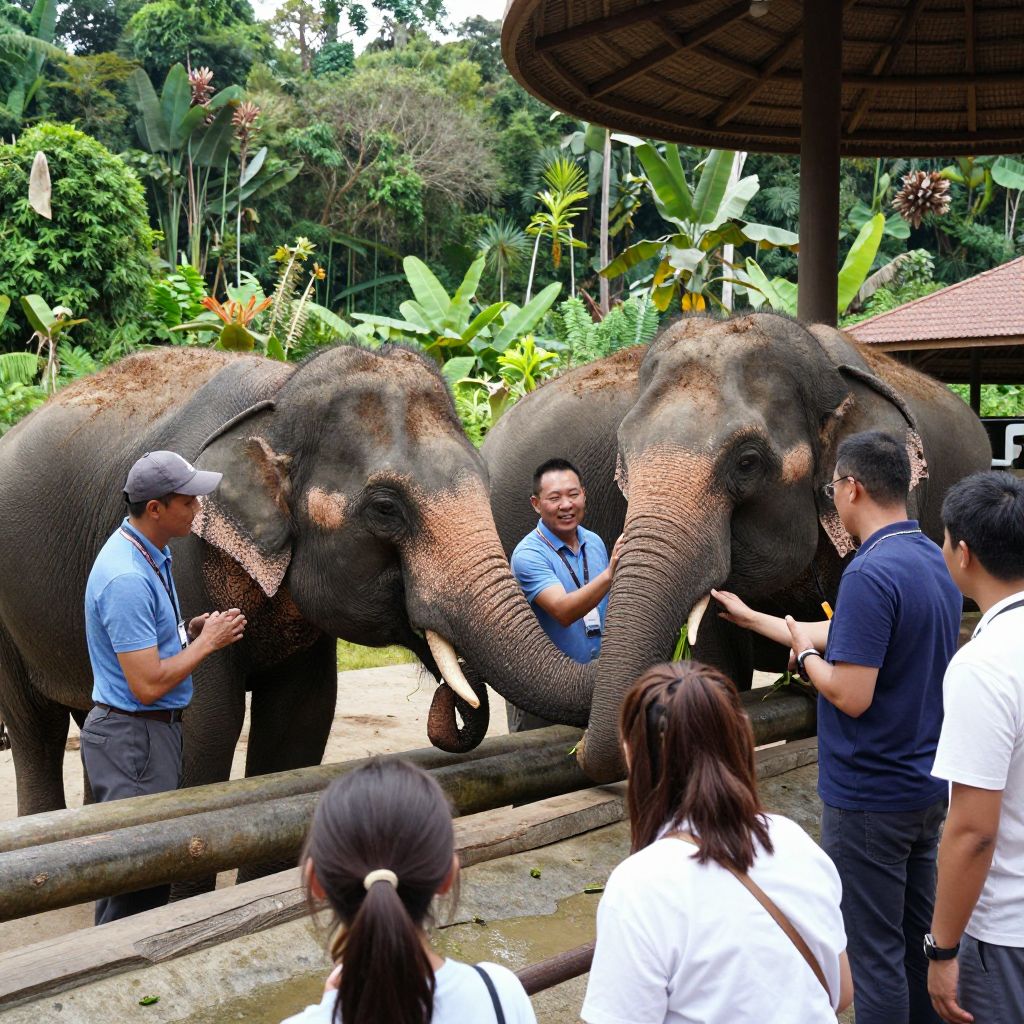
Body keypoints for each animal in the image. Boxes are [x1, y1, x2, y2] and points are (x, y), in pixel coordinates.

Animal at [0, 343, 592, 818]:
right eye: (385, 508)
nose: (457, 696)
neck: (279, 398)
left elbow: (298, 728)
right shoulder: (188, 560)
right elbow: (204, 729)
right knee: (36, 729)